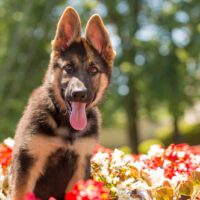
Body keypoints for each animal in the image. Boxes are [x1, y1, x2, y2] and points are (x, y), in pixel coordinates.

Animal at [9, 6, 115, 200]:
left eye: (93, 70)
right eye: (68, 68)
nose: (79, 94)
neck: (66, 126)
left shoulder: (80, 166)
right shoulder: (27, 164)